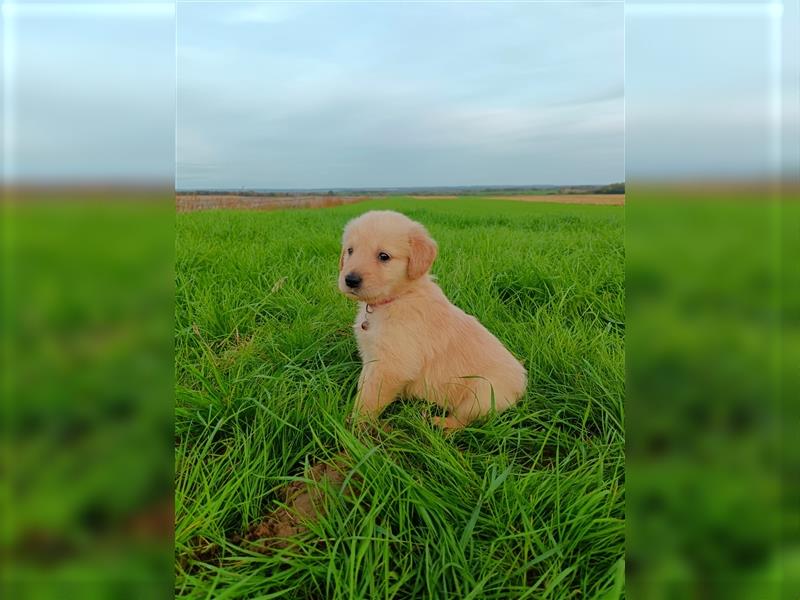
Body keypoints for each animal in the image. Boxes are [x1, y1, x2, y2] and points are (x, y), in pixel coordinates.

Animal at [336, 209, 524, 428]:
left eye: (384, 256)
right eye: (350, 250)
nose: (350, 280)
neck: (399, 296)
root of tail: (523, 384)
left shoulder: (392, 365)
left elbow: (370, 398)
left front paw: (355, 424)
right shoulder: (371, 357)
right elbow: (364, 385)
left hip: (484, 392)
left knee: (463, 420)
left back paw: (440, 423)